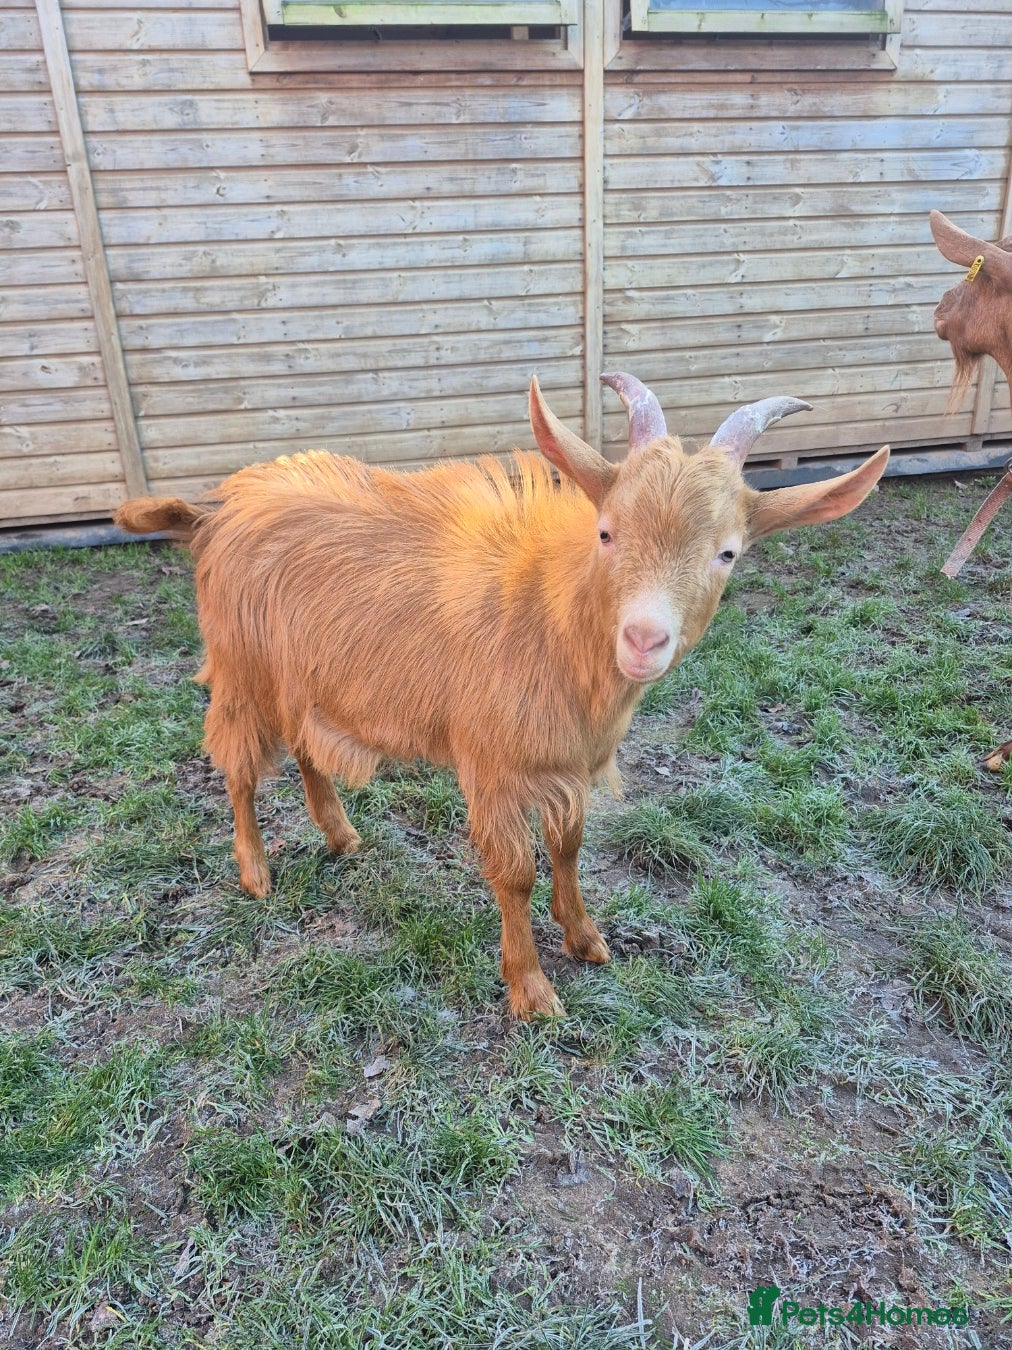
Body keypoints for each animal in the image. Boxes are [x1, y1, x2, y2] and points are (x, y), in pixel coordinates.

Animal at [114, 376, 889, 1018]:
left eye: (727, 553)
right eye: (607, 532)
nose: (643, 639)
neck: (552, 614)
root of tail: (214, 512)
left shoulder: (567, 764)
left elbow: (570, 846)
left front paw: (586, 938)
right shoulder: (492, 763)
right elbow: (514, 874)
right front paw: (531, 990)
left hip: (305, 675)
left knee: (307, 746)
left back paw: (340, 834)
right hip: (243, 668)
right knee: (238, 767)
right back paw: (255, 873)